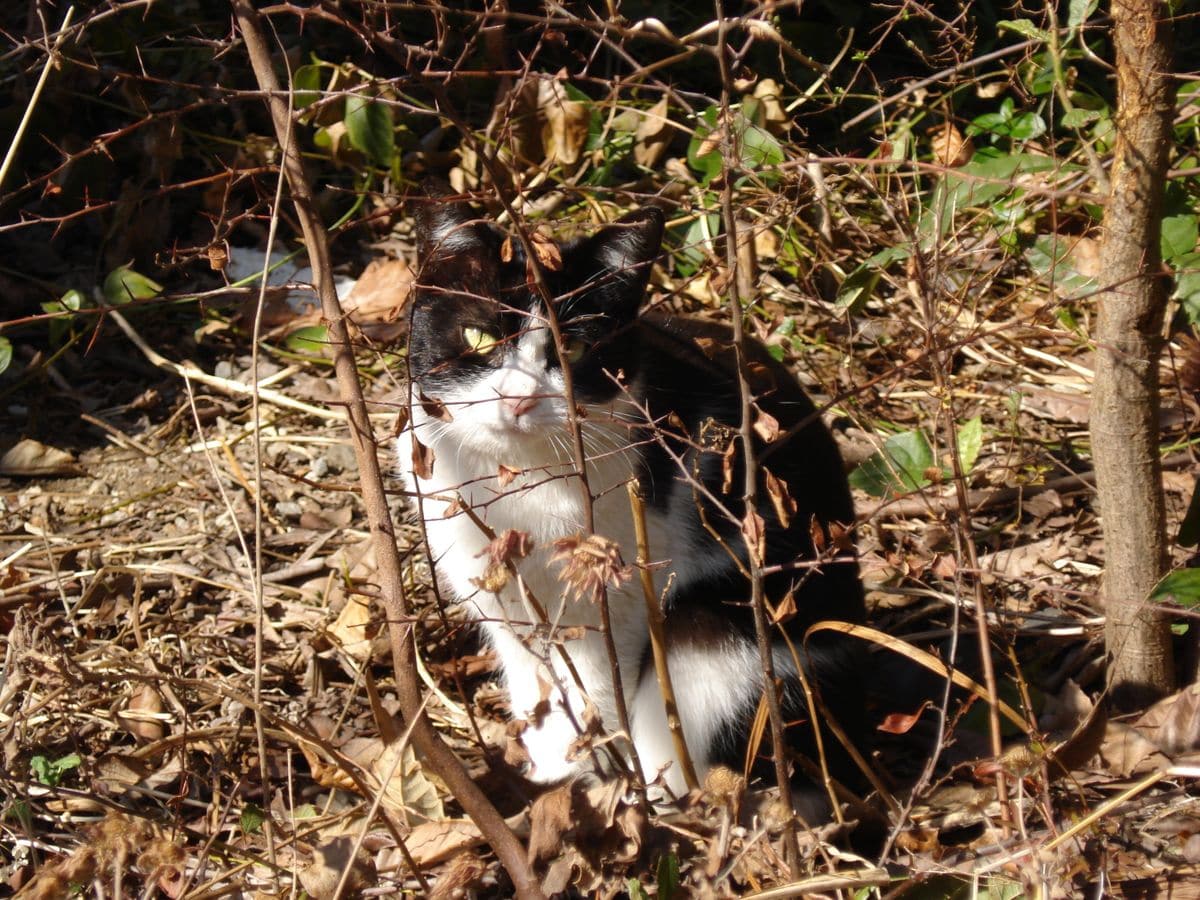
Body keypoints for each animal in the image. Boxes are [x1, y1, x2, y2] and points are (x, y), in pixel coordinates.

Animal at [398, 196, 868, 801]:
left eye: (573, 347)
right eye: (479, 338)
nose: (520, 400)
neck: (513, 482)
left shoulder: (613, 602)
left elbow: (594, 686)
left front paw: (586, 784)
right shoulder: (503, 602)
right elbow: (535, 683)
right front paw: (552, 773)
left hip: (716, 638)